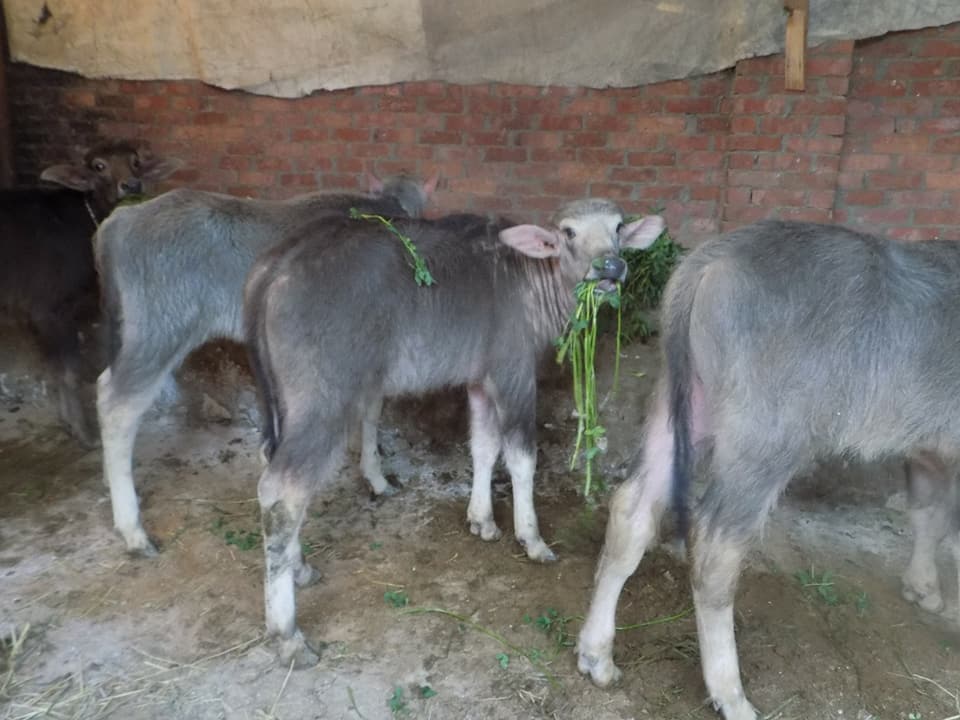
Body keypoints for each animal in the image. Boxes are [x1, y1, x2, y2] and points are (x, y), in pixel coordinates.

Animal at [0, 140, 180, 446]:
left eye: (135, 161)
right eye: (99, 166)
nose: (131, 185)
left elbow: (55, 369)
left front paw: (67, 421)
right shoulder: (48, 311)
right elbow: (69, 372)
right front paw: (84, 432)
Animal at [94, 172, 438, 556]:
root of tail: (123, 218)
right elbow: (373, 411)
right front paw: (376, 477)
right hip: (160, 330)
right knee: (118, 405)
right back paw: (132, 529)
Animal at [245, 199, 665, 665]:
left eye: (618, 227)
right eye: (569, 232)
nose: (610, 266)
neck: (528, 279)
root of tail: (274, 267)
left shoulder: (479, 381)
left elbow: (483, 447)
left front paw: (481, 519)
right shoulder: (513, 373)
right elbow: (521, 457)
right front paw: (531, 538)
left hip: (278, 400)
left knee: (270, 463)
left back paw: (299, 566)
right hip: (322, 402)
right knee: (282, 491)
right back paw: (287, 635)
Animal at [576, 219, 960, 720]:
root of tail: (719, 254)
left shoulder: (929, 447)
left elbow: (928, 512)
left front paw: (924, 586)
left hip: (685, 401)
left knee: (632, 508)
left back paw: (596, 655)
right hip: (766, 437)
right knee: (716, 545)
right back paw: (731, 694)